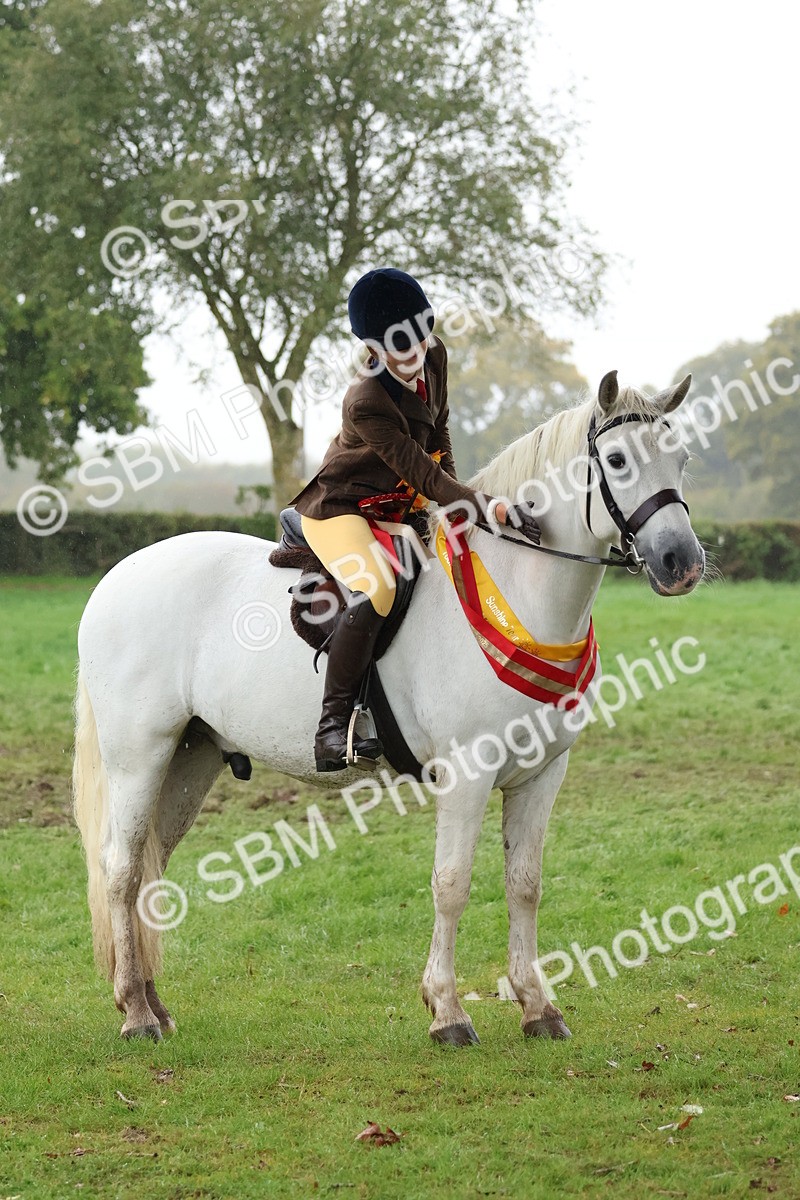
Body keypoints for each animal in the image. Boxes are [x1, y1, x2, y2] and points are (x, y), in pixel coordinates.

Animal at [72, 369, 705, 1045]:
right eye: (616, 460)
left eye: (682, 458)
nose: (681, 563)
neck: (516, 593)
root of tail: (118, 577)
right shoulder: (467, 776)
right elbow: (452, 886)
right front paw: (447, 1012)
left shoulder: (541, 775)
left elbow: (525, 886)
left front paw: (538, 1007)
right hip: (140, 754)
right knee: (121, 869)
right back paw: (136, 1013)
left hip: (190, 758)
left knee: (150, 868)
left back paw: (152, 1003)